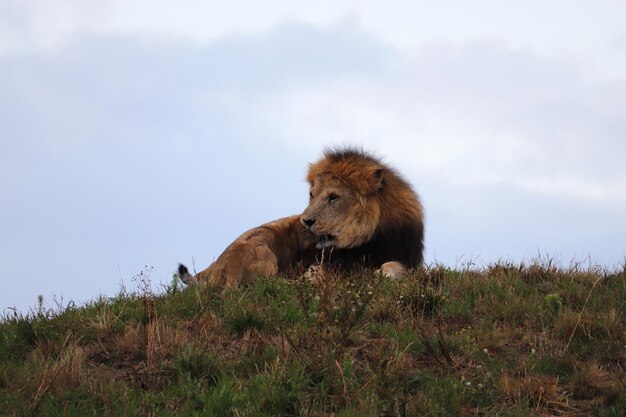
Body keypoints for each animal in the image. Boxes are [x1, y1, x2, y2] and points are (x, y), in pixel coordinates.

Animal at [180, 148, 424, 288]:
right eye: (312, 194)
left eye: (333, 197)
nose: (305, 221)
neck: (369, 240)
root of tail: (211, 270)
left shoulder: (408, 259)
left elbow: (395, 266)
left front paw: (383, 273)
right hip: (261, 245)